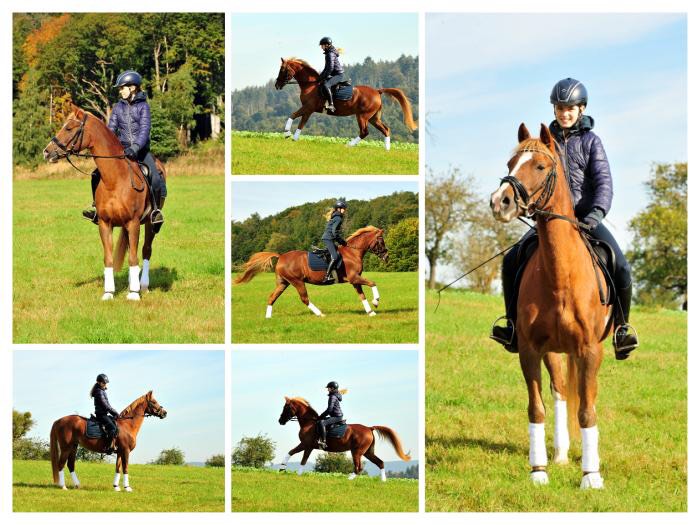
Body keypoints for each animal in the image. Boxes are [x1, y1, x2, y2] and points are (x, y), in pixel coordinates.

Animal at [43, 103, 166, 298]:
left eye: (69, 128)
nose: (47, 152)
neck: (115, 179)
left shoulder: (133, 223)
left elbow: (133, 257)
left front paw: (133, 293)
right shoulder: (105, 223)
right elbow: (108, 258)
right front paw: (108, 292)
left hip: (149, 223)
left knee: (146, 250)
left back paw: (143, 285)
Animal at [234, 224, 388, 316]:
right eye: (381, 240)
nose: (386, 256)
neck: (353, 252)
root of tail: (281, 256)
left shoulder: (354, 280)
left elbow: (362, 295)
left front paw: (370, 312)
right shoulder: (354, 277)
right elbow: (373, 283)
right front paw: (376, 301)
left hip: (283, 283)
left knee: (272, 297)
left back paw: (268, 317)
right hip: (297, 282)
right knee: (304, 299)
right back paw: (320, 314)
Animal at [274, 58, 416, 150]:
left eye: (282, 70)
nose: (277, 85)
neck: (311, 85)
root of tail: (377, 91)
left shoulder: (308, 108)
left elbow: (295, 117)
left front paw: (288, 134)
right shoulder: (308, 109)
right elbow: (298, 120)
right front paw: (292, 136)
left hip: (362, 116)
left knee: (364, 132)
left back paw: (348, 145)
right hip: (373, 118)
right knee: (385, 129)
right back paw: (387, 150)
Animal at [278, 398, 410, 478]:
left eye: (286, 407)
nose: (280, 421)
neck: (309, 423)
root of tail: (369, 428)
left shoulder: (307, 445)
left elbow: (299, 458)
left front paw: (291, 472)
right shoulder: (306, 446)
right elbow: (294, 455)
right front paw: (284, 469)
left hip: (357, 451)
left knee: (359, 467)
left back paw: (349, 478)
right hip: (367, 452)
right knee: (380, 463)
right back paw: (383, 482)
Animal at [490, 123, 608, 488]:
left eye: (540, 166)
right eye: (510, 162)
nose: (500, 202)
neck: (560, 275)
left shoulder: (589, 350)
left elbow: (587, 410)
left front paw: (591, 477)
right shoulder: (530, 350)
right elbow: (536, 407)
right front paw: (538, 471)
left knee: (581, 397)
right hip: (554, 351)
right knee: (560, 391)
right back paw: (559, 453)